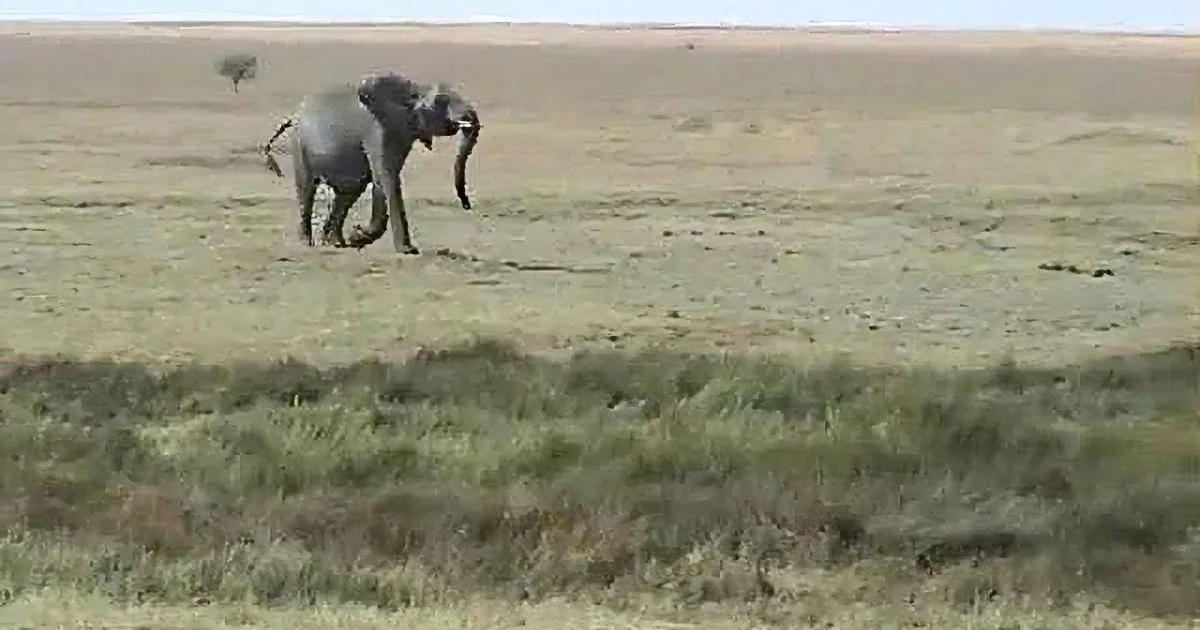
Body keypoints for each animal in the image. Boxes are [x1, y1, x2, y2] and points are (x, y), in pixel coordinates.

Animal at [261, 72, 481, 254]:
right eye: (441, 101)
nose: (466, 205)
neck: (413, 91)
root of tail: (294, 116)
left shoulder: (400, 131)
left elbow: (381, 179)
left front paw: (357, 237)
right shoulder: (377, 128)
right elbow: (386, 175)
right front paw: (406, 250)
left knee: (347, 194)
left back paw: (335, 242)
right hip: (300, 146)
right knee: (307, 190)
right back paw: (306, 244)